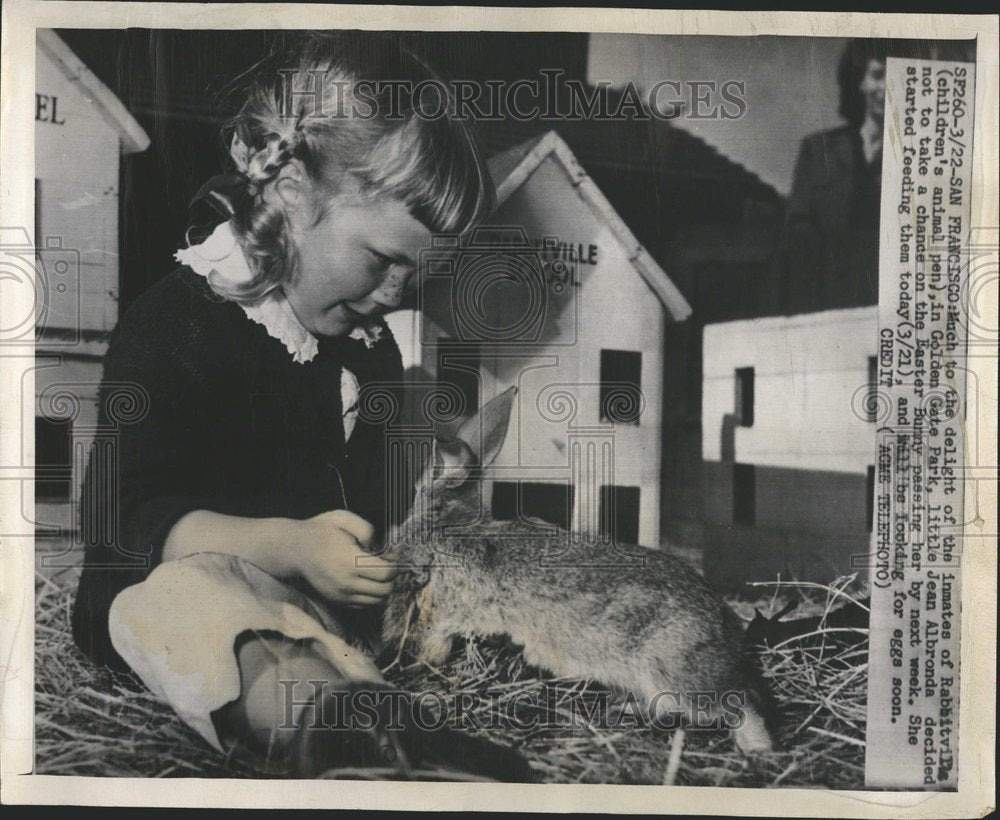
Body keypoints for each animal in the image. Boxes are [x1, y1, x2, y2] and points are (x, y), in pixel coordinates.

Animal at [378, 388, 776, 752]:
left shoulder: (441, 613)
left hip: (675, 674)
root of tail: (726, 635)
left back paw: (758, 749)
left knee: (739, 704)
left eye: (416, 491)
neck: (448, 526)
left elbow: (434, 638)